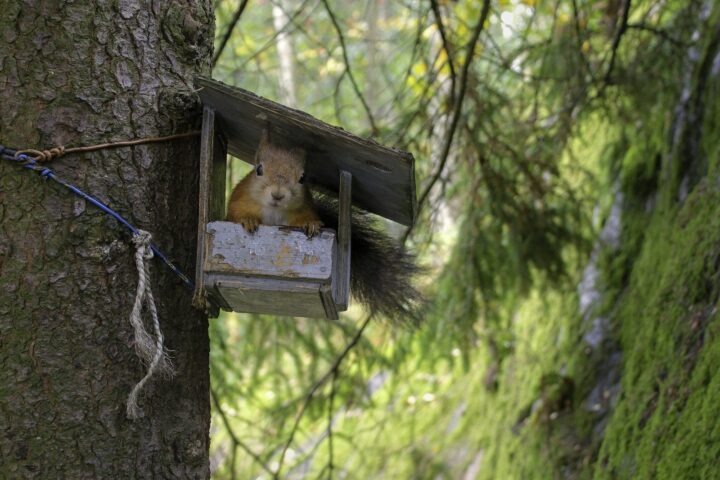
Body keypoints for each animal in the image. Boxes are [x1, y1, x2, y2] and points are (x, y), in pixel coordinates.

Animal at [226, 129, 422, 322]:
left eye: (302, 177)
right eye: (258, 169)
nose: (278, 195)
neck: (274, 210)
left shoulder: (303, 209)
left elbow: (305, 219)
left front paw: (310, 225)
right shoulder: (238, 201)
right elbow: (235, 215)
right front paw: (248, 220)